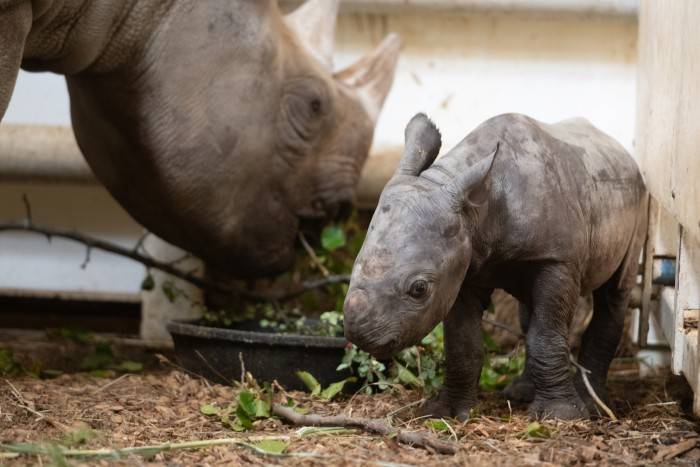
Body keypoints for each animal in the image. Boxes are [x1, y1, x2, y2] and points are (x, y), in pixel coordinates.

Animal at [343, 113, 647, 420]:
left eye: (419, 289)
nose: (361, 335)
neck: (477, 210)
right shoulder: (461, 267)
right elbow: (462, 342)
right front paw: (446, 412)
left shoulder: (557, 258)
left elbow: (546, 335)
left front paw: (562, 415)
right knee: (530, 310)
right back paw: (521, 392)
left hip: (638, 200)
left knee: (614, 293)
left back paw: (595, 406)